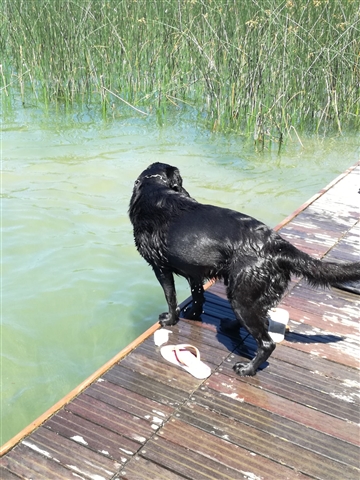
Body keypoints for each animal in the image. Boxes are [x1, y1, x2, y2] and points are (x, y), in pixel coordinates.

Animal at [129, 162, 360, 376]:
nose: (186, 192)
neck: (155, 188)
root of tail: (276, 245)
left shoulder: (160, 267)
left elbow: (170, 297)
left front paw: (169, 320)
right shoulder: (195, 270)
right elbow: (198, 296)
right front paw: (193, 314)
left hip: (242, 295)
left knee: (266, 343)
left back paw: (247, 369)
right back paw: (231, 325)